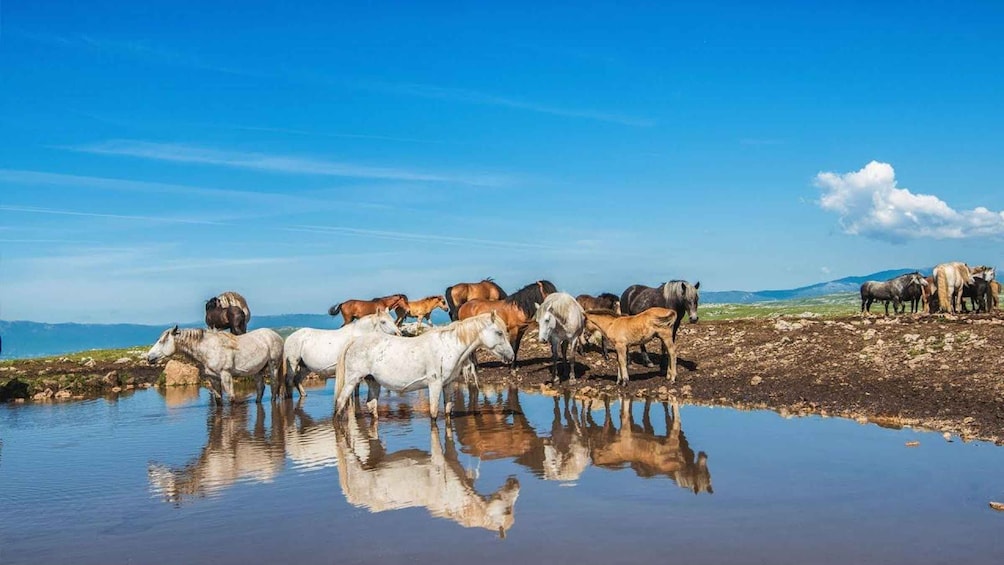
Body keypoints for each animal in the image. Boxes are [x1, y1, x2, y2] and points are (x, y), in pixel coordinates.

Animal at [146, 326, 284, 405]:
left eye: (162, 341)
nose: (149, 357)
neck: (208, 349)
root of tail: (276, 335)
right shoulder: (213, 379)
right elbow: (218, 401)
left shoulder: (226, 376)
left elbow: (232, 399)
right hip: (257, 370)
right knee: (261, 388)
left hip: (273, 365)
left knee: (274, 386)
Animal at [334, 312, 515, 421]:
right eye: (499, 332)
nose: (511, 355)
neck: (447, 347)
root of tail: (354, 341)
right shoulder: (434, 385)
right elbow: (434, 414)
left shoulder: (448, 385)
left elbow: (448, 411)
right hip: (352, 381)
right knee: (340, 404)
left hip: (373, 381)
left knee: (372, 406)